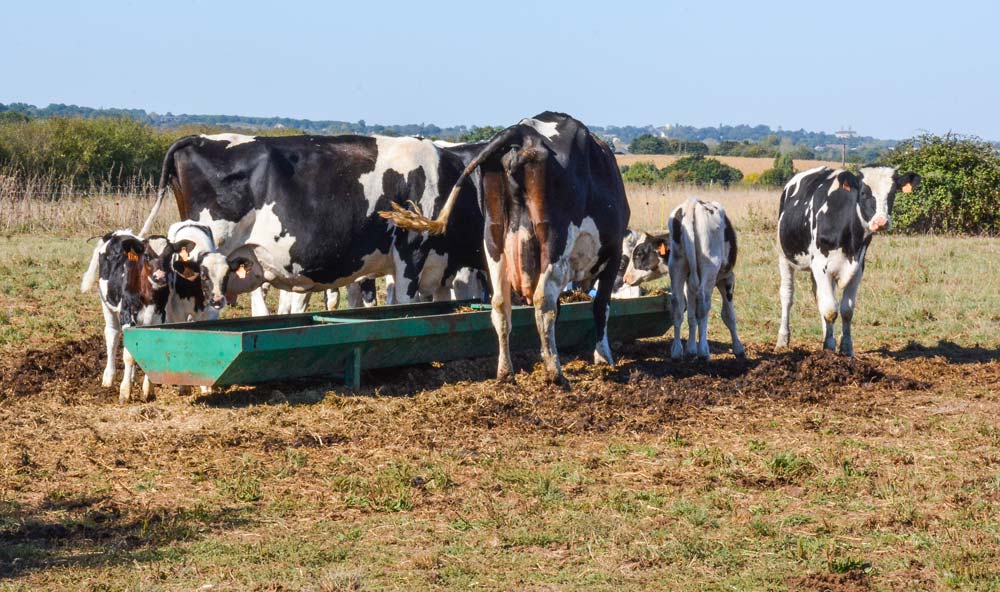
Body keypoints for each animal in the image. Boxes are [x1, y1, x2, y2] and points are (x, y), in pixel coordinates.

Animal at [81, 231, 170, 402]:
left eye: (170, 256)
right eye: (147, 255)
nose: (160, 277)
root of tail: (117, 233)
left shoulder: (159, 318)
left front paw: (148, 389)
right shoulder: (127, 316)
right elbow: (128, 355)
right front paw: (125, 391)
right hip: (106, 303)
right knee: (112, 334)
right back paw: (109, 377)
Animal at [380, 111, 624, 384]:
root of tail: (522, 131)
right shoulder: (614, 253)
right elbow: (600, 306)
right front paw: (603, 357)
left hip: (494, 240)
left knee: (500, 304)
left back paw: (506, 371)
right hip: (554, 240)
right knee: (543, 300)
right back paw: (555, 373)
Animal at [624, 199, 744, 360]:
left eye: (638, 254)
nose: (626, 278)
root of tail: (692, 204)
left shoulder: (688, 282)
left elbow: (691, 315)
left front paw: (691, 348)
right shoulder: (726, 278)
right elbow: (729, 315)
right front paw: (738, 348)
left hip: (677, 266)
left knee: (677, 305)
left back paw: (676, 351)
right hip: (709, 269)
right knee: (703, 305)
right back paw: (704, 352)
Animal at [772, 164, 920, 354]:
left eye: (893, 192)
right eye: (863, 193)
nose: (881, 222)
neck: (850, 240)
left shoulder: (857, 267)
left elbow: (846, 310)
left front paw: (845, 348)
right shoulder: (821, 266)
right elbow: (830, 310)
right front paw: (828, 349)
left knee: (820, 297)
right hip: (784, 256)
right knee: (787, 296)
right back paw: (783, 339)